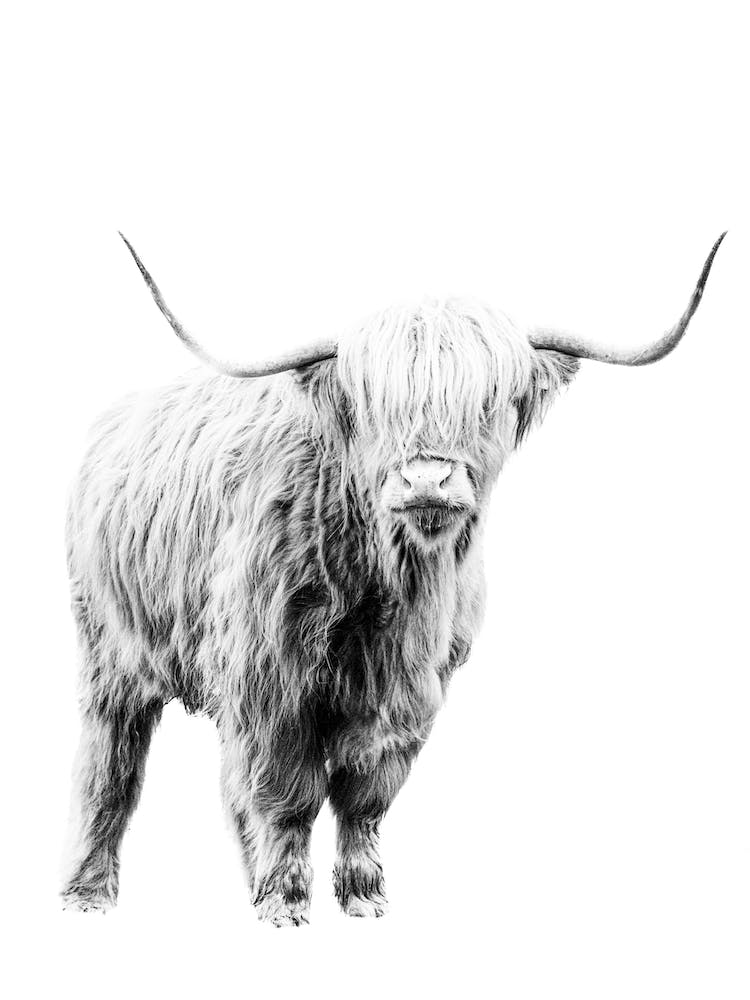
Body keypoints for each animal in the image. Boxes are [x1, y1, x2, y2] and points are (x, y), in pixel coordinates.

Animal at [61, 232, 726, 924]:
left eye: (488, 401)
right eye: (375, 404)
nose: (428, 479)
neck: (390, 586)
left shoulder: (413, 688)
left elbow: (366, 791)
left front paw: (362, 895)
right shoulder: (267, 675)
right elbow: (285, 788)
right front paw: (286, 903)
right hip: (107, 651)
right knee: (110, 766)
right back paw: (89, 893)